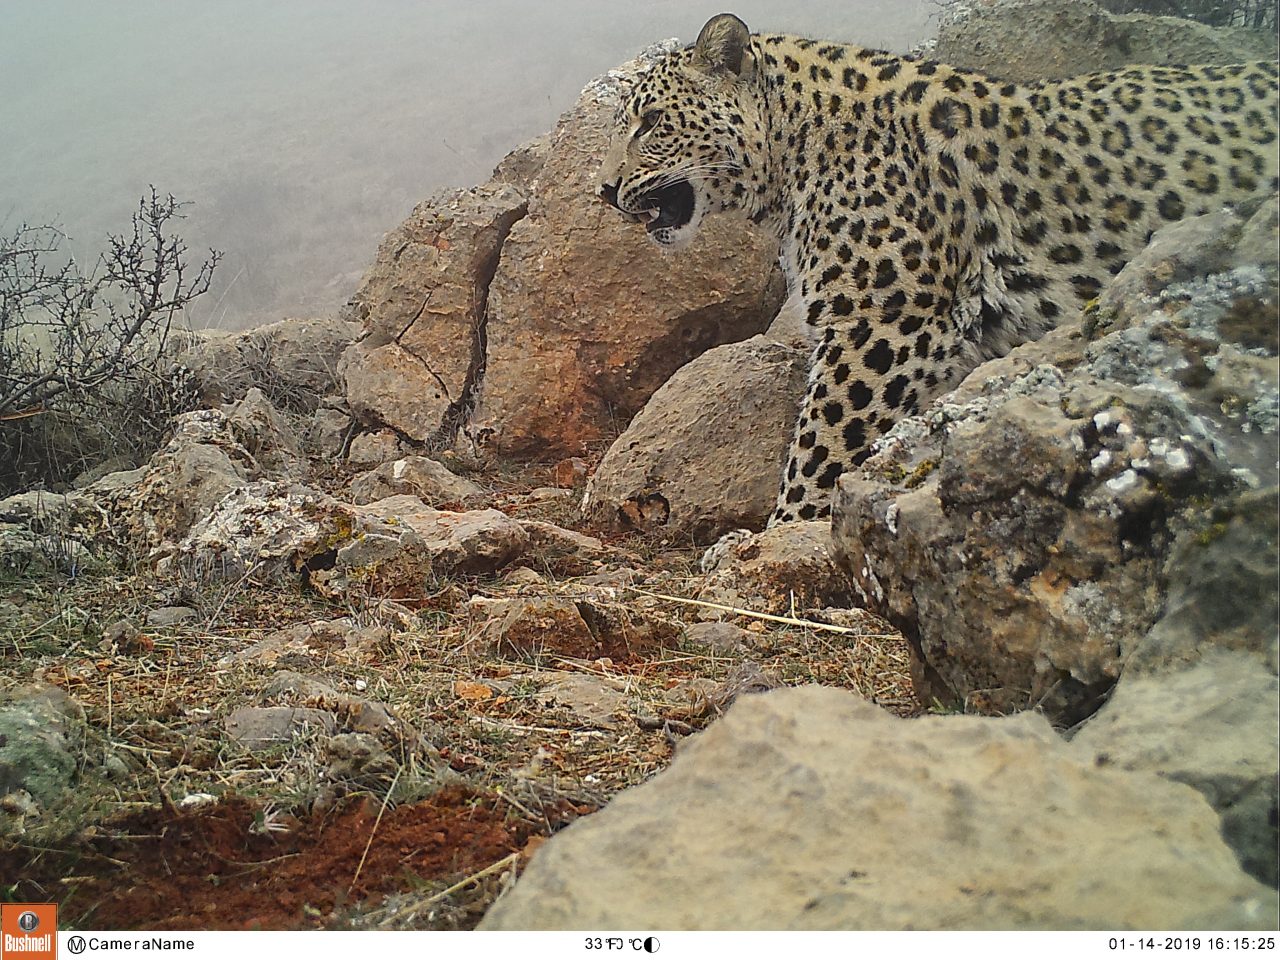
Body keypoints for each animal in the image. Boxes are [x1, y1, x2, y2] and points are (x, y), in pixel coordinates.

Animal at [598, 12, 1278, 527]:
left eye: (651, 123)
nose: (602, 189)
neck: (796, 156)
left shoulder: (882, 323)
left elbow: (822, 444)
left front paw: (778, 534)